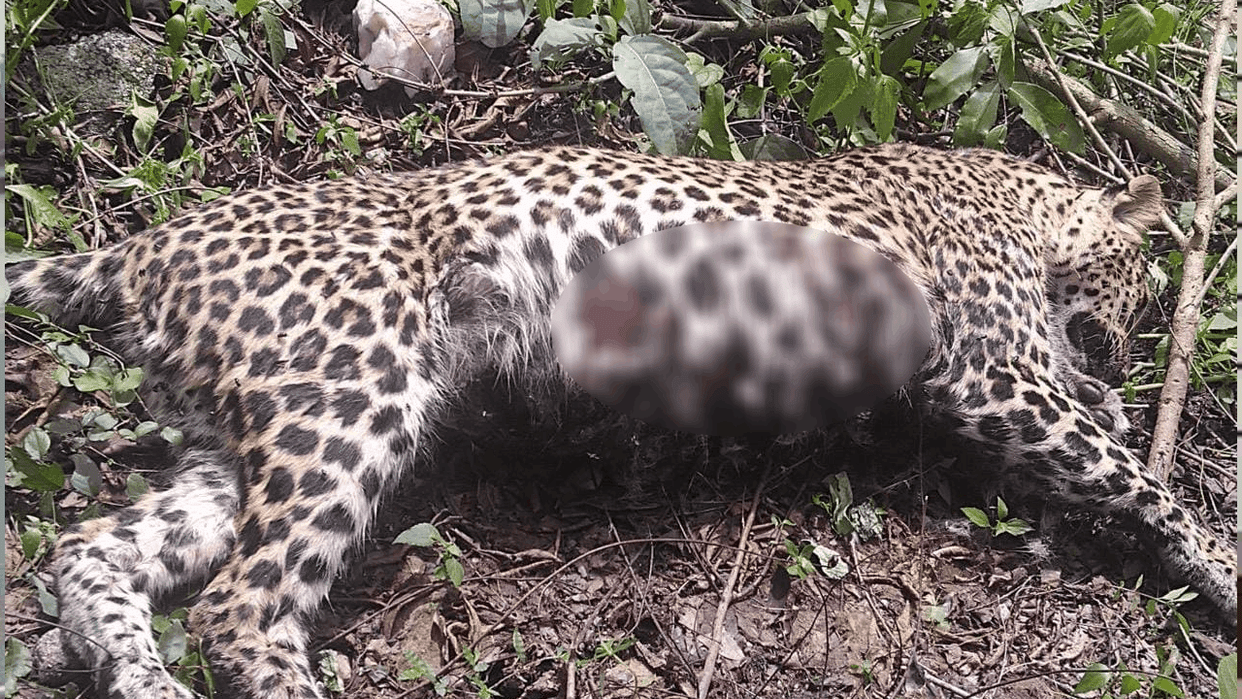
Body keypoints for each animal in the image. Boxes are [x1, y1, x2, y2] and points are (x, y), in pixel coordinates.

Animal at [6, 142, 1236, 699]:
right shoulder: (1000, 372)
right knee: (242, 610)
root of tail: (142, 246)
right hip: (349, 391)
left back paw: (134, 672)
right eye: (1143, 289)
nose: (1124, 358)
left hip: (235, 436)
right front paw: (1223, 566)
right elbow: (1140, 478)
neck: (1018, 196)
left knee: (93, 550)